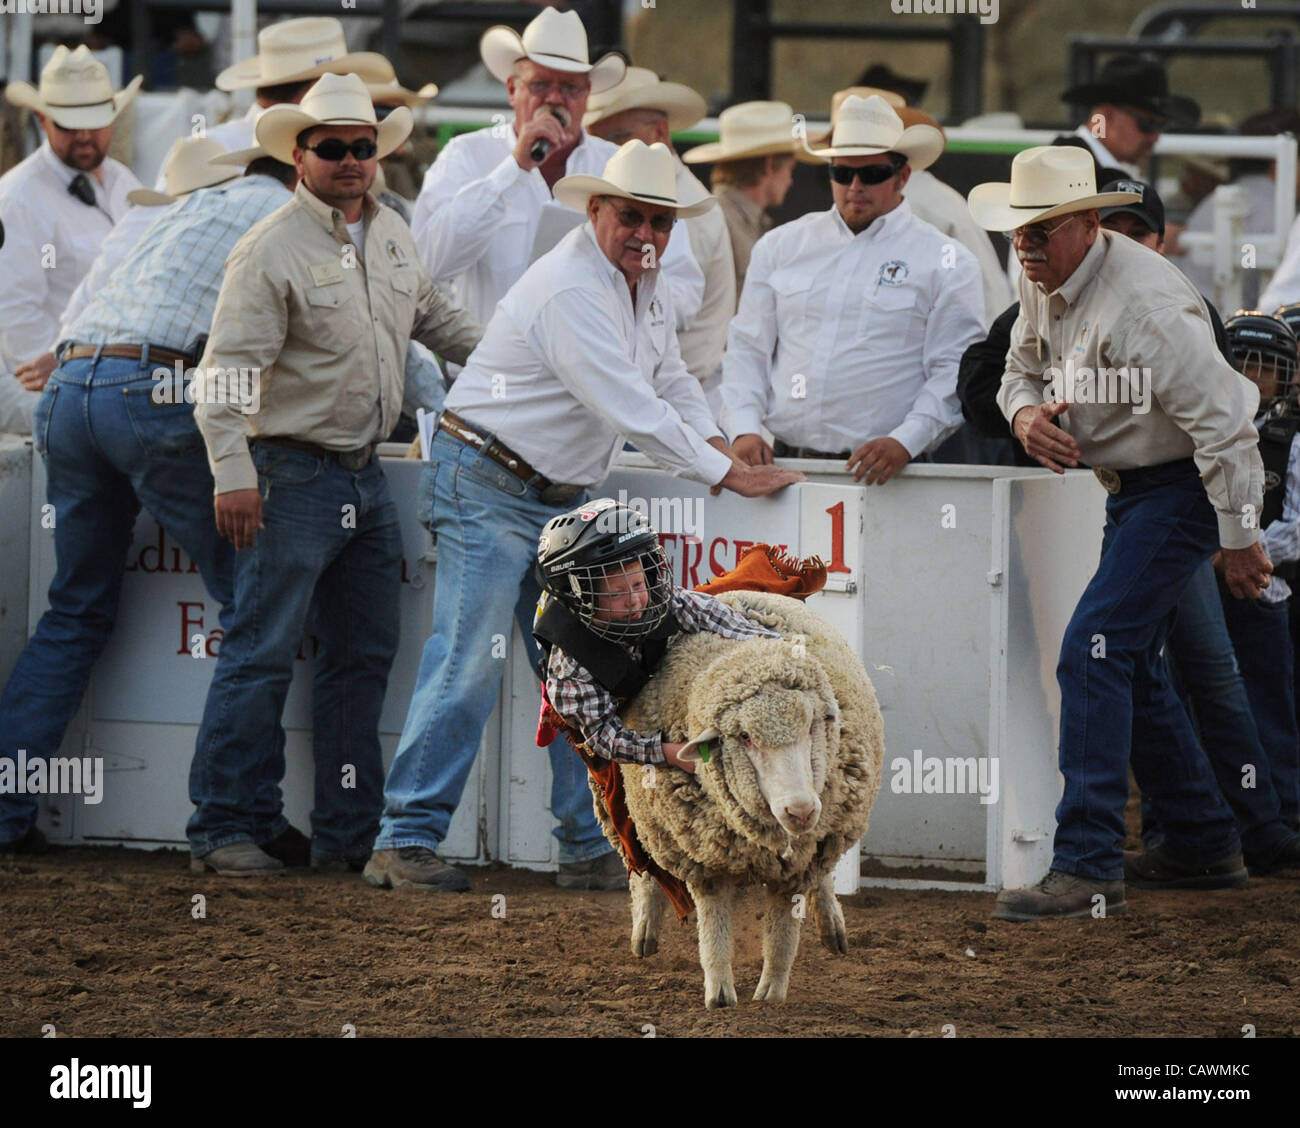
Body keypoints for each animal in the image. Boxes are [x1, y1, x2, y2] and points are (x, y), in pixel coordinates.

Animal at [595, 589, 889, 1003]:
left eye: (811, 726)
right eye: (746, 737)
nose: (800, 810)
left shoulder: (798, 861)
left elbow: (782, 932)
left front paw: (772, 991)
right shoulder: (704, 861)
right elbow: (714, 927)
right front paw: (719, 992)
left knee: (823, 878)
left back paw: (832, 925)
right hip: (638, 818)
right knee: (644, 865)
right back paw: (645, 929)